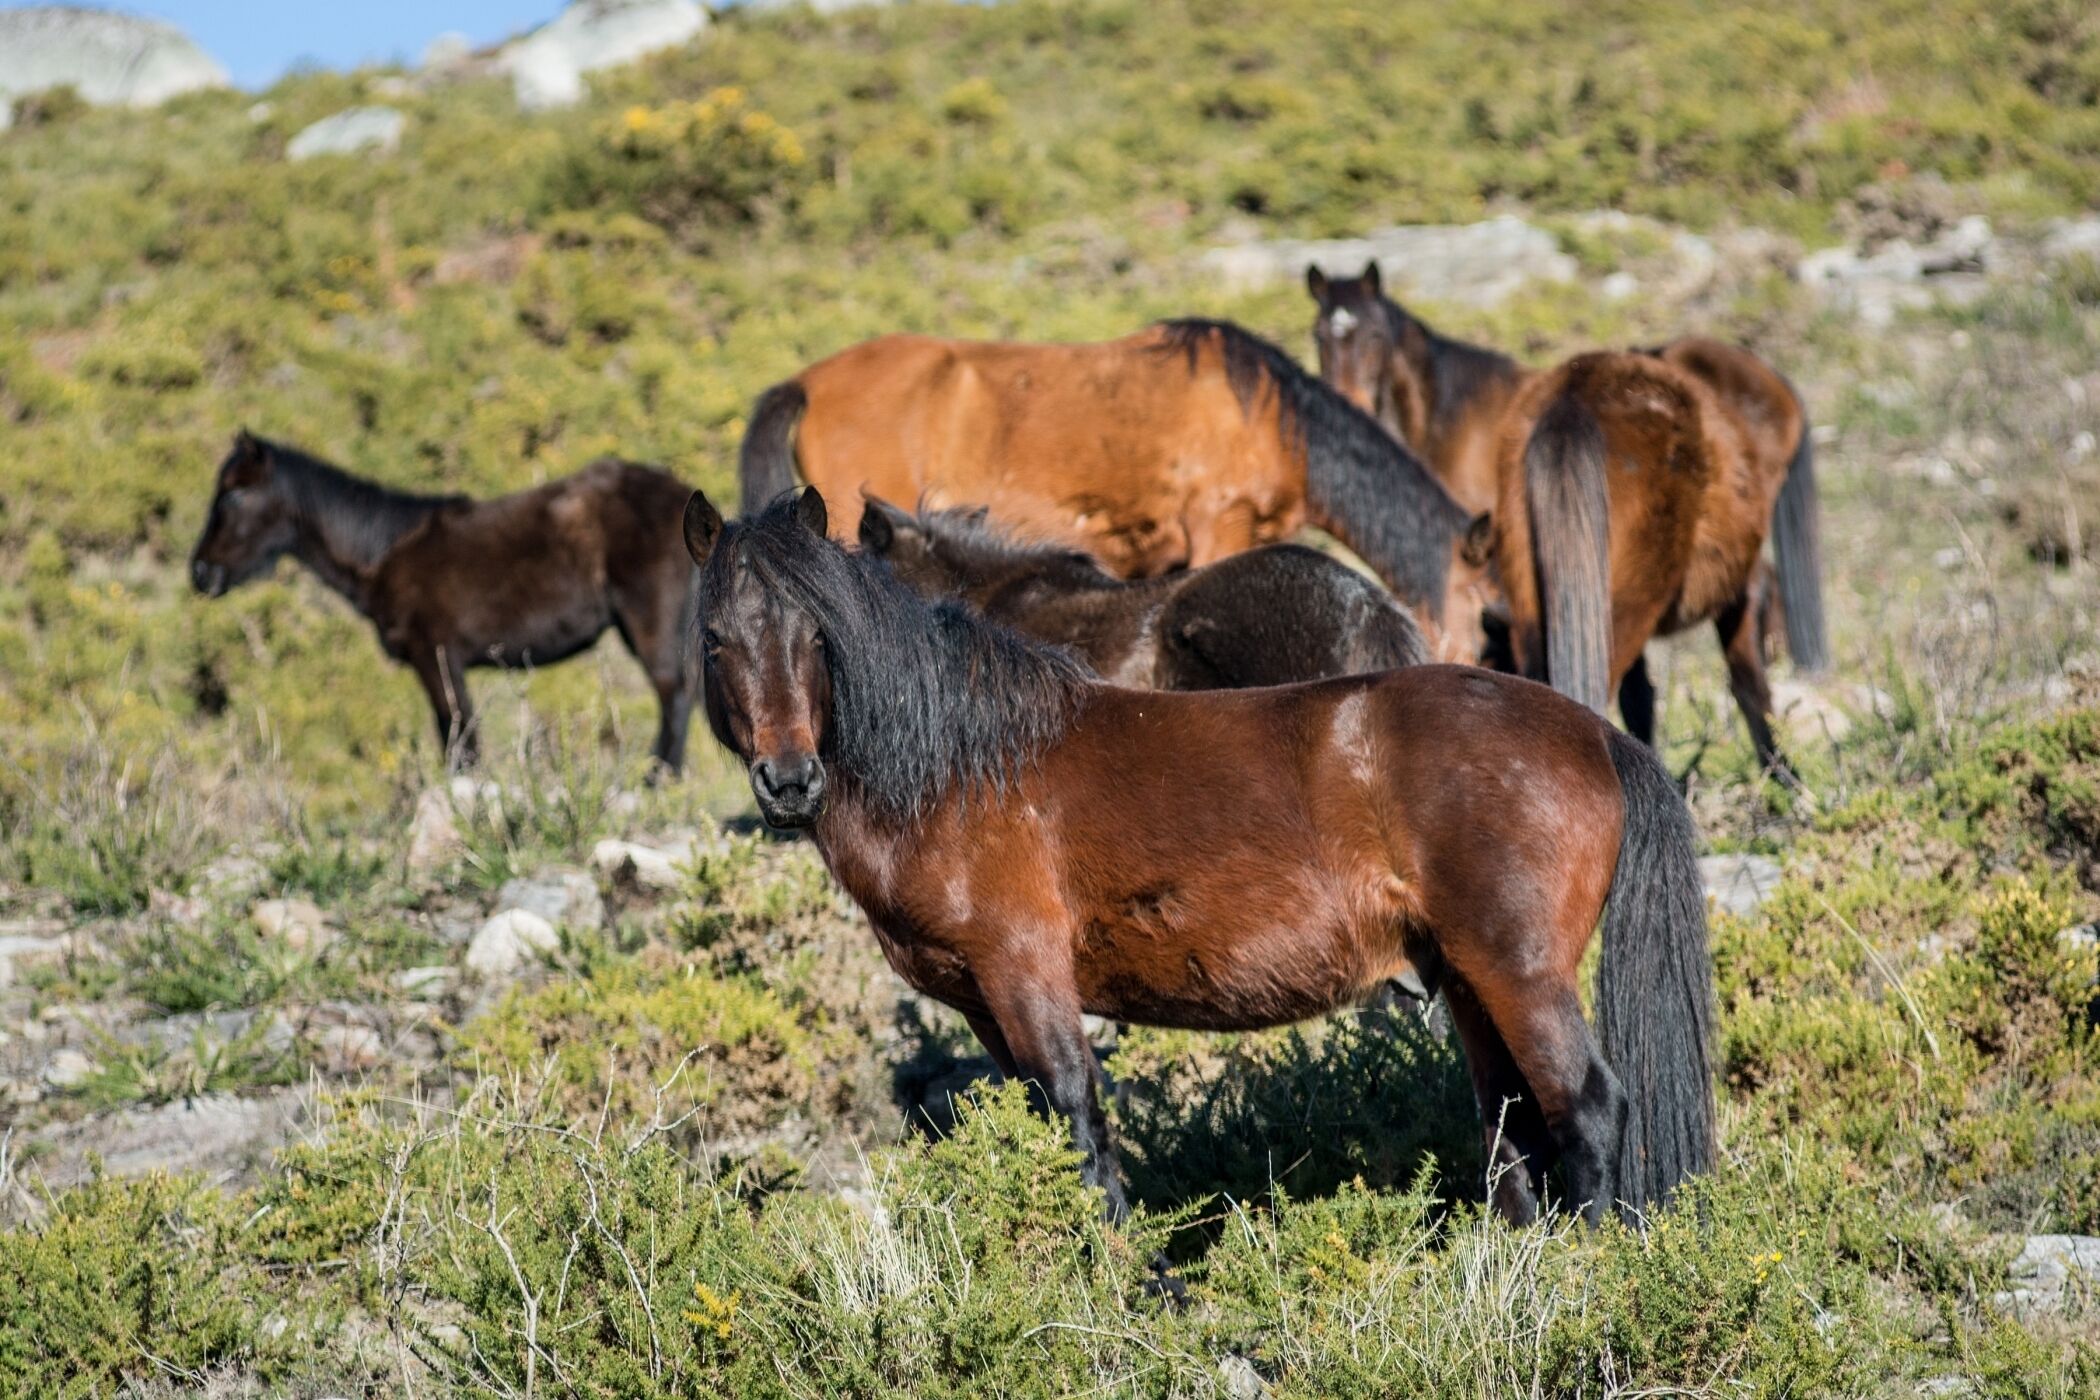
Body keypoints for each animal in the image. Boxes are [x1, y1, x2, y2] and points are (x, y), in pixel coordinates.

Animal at [189, 430, 698, 772]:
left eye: (233, 494)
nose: (200, 573)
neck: (383, 551)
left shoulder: (435, 657)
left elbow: (460, 737)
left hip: (649, 622)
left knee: (674, 695)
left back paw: (657, 778)